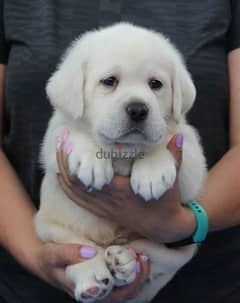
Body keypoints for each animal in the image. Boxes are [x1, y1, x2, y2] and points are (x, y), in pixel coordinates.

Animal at [35, 22, 206, 302]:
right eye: (109, 81)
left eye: (155, 84)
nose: (138, 109)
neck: (122, 151)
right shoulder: (54, 138)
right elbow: (73, 131)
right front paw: (90, 158)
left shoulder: (191, 154)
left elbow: (163, 142)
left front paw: (151, 172)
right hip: (49, 226)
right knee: (81, 249)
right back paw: (94, 276)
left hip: (174, 251)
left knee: (148, 255)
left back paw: (123, 261)